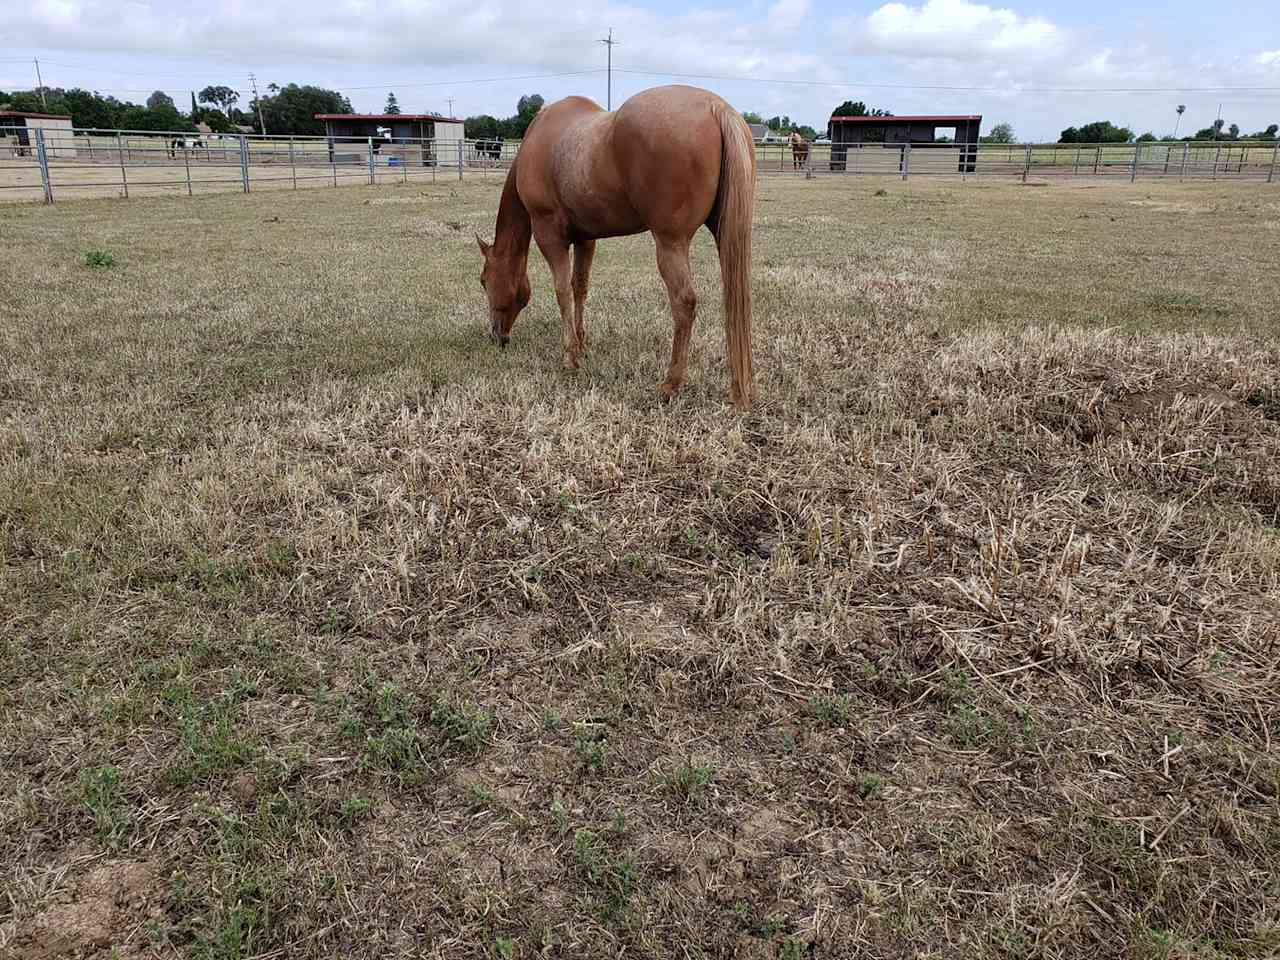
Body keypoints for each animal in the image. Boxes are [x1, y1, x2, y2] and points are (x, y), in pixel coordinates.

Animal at [476, 83, 752, 409]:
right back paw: (736, 389)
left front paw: (569, 357)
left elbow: (562, 291)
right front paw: (581, 344)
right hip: (724, 237)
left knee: (684, 303)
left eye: (484, 281)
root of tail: (716, 107)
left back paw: (671, 384)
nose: (496, 336)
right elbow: (579, 287)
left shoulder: (550, 236)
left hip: (670, 244)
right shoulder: (585, 239)